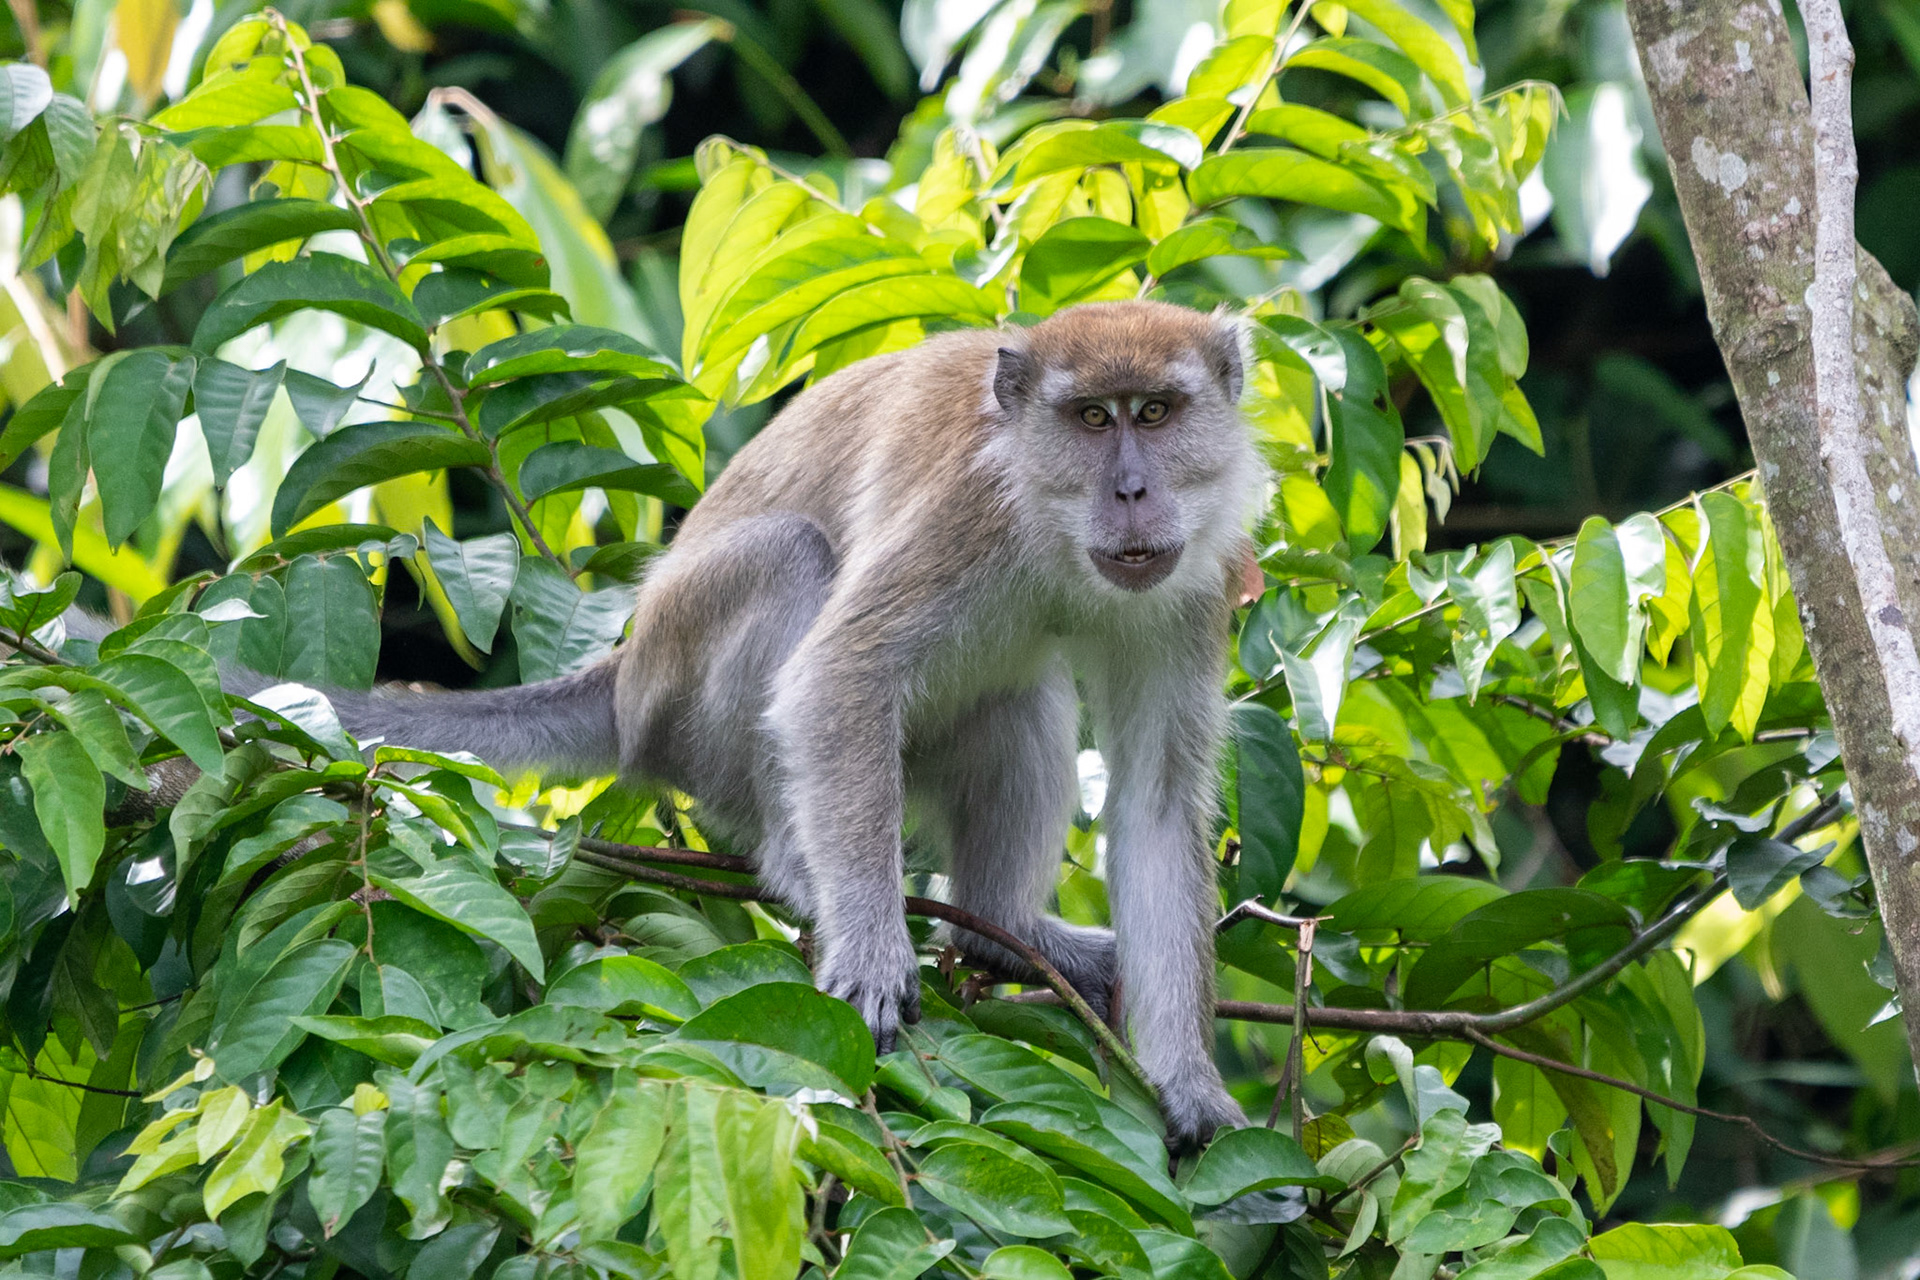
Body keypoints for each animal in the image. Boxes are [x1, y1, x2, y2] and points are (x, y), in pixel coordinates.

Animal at [37, 300, 1264, 1151]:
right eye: (1091, 419)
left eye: (1157, 413)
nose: (1133, 492)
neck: (1050, 527)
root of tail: (624, 674)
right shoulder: (969, 514)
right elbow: (840, 678)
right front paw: (870, 951)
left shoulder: (1192, 584)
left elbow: (1159, 800)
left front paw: (1191, 1086)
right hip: (682, 696)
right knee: (793, 566)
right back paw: (797, 862)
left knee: (1021, 700)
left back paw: (1001, 928)